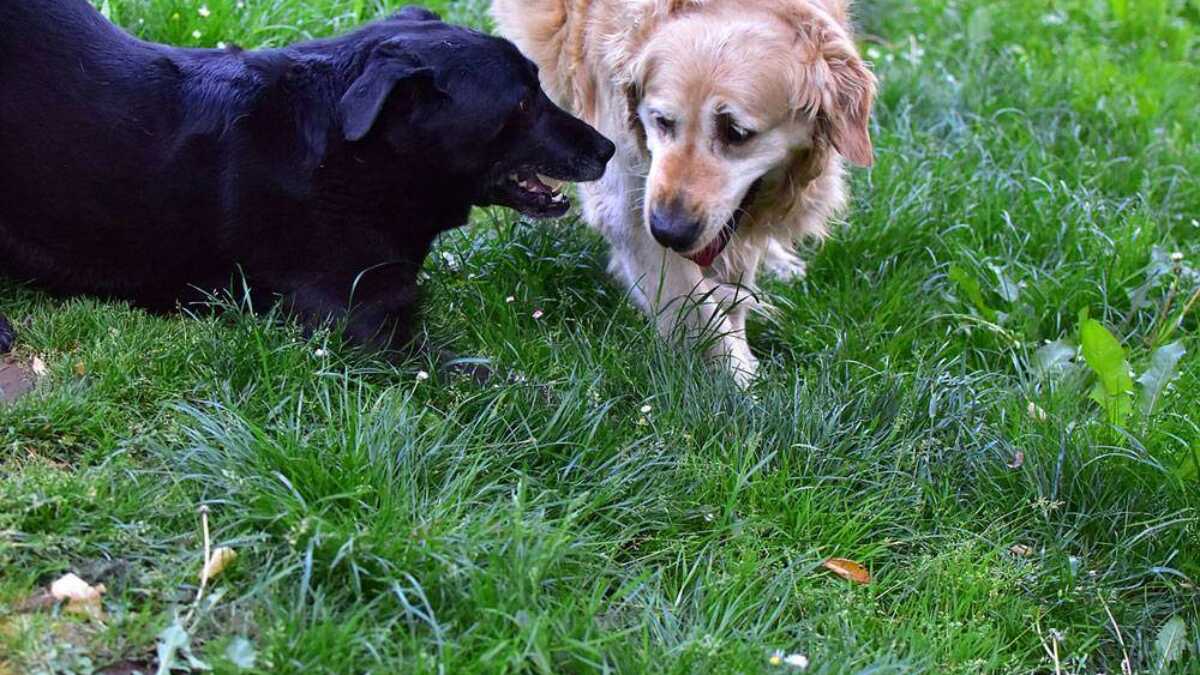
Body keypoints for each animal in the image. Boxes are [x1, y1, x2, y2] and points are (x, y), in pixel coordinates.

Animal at [492, 0, 878, 384]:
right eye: (661, 121)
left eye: (736, 133)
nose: (669, 232)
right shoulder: (626, 200)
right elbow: (695, 308)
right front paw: (739, 381)